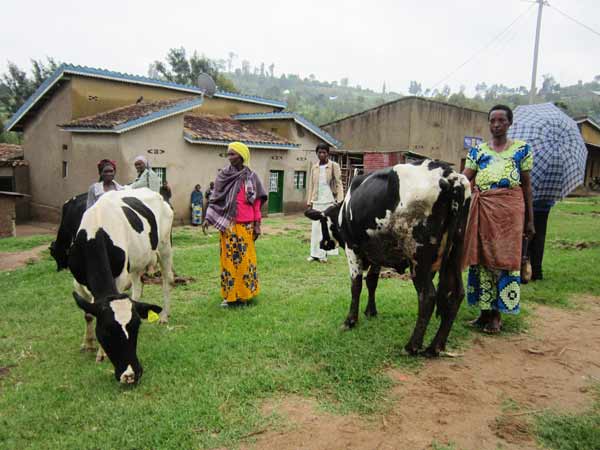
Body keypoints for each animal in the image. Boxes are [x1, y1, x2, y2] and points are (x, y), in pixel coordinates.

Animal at [70, 188, 175, 384]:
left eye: (136, 328)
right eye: (107, 330)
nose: (132, 374)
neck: (95, 231)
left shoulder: (118, 278)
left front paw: (101, 353)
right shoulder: (78, 281)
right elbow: (88, 313)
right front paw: (87, 343)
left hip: (164, 246)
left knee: (167, 281)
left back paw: (164, 315)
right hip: (136, 260)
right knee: (137, 288)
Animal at [308, 160, 472, 356]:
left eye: (322, 222)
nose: (323, 244)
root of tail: (450, 176)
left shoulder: (352, 248)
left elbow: (356, 285)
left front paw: (350, 321)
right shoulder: (377, 253)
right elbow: (372, 281)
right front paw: (370, 311)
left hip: (418, 258)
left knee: (427, 296)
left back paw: (412, 346)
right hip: (455, 254)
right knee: (457, 294)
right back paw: (435, 346)